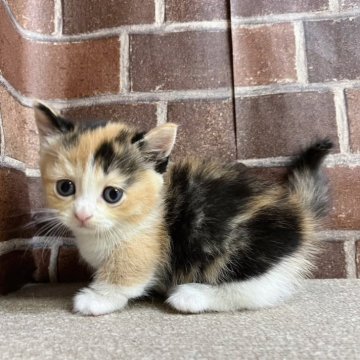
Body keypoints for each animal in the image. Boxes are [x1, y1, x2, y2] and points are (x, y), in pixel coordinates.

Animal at [33, 102, 332, 316]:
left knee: (255, 291)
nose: (82, 215)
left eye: (112, 194)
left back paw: (192, 296)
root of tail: (299, 212)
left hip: (247, 249)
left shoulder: (147, 244)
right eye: (65, 188)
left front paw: (98, 298)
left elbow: (128, 275)